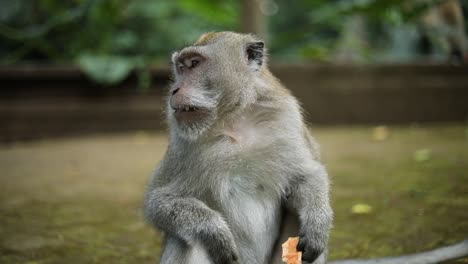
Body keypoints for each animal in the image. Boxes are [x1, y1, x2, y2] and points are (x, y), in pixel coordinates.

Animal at [144, 31, 332, 264]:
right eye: (180, 68)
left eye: (194, 63)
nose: (174, 90)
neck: (234, 120)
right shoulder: (181, 145)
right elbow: (158, 201)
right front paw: (212, 229)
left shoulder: (287, 119)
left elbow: (307, 175)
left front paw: (317, 223)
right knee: (187, 241)